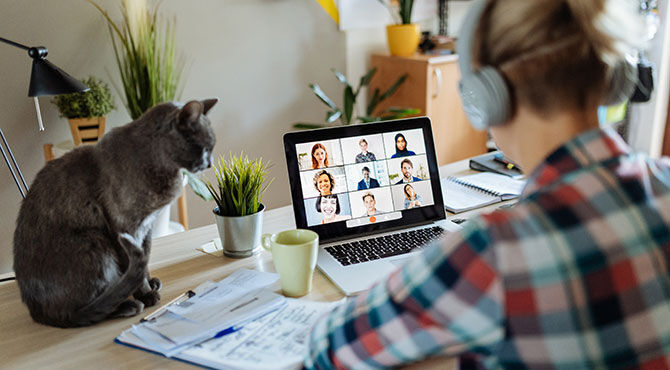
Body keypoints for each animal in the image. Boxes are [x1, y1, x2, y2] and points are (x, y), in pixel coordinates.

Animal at [12, 98, 218, 326]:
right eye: (204, 148)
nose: (210, 163)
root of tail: (37, 313)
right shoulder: (124, 227)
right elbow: (135, 263)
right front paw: (146, 294)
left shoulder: (146, 229)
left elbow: (145, 259)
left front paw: (149, 283)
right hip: (95, 242)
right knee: (80, 311)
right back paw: (127, 305)